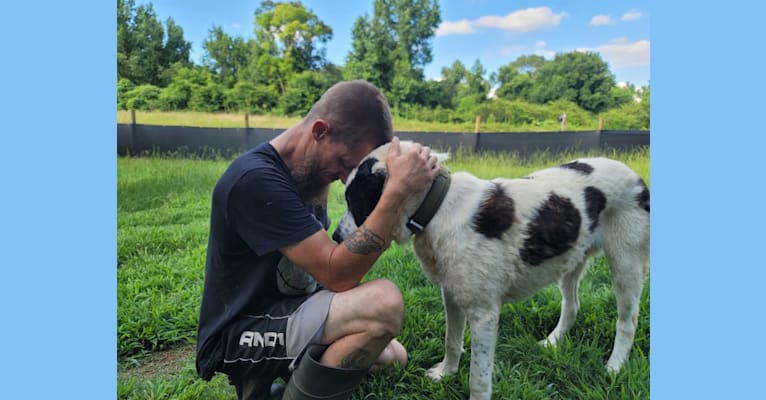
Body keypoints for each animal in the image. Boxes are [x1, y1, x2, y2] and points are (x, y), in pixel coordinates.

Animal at [332, 141, 652, 400]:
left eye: (354, 198)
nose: (334, 237)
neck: (439, 207)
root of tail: (637, 178)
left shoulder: (484, 313)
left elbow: (478, 375)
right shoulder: (451, 294)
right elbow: (452, 341)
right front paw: (445, 374)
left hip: (625, 263)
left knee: (627, 322)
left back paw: (614, 366)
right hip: (571, 259)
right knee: (572, 305)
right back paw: (553, 341)